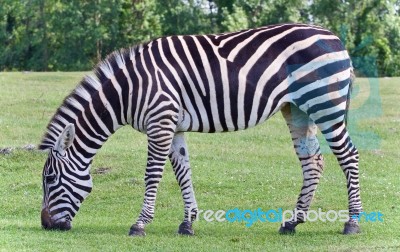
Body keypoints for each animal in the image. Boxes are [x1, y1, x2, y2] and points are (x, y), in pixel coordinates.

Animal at [39, 22, 362, 235]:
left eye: (50, 179)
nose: (46, 225)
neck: (128, 90)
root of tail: (334, 37)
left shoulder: (160, 122)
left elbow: (152, 175)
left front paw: (140, 224)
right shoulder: (173, 126)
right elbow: (183, 172)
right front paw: (187, 222)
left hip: (325, 104)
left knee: (349, 156)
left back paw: (352, 222)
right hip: (297, 109)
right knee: (313, 162)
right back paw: (293, 222)